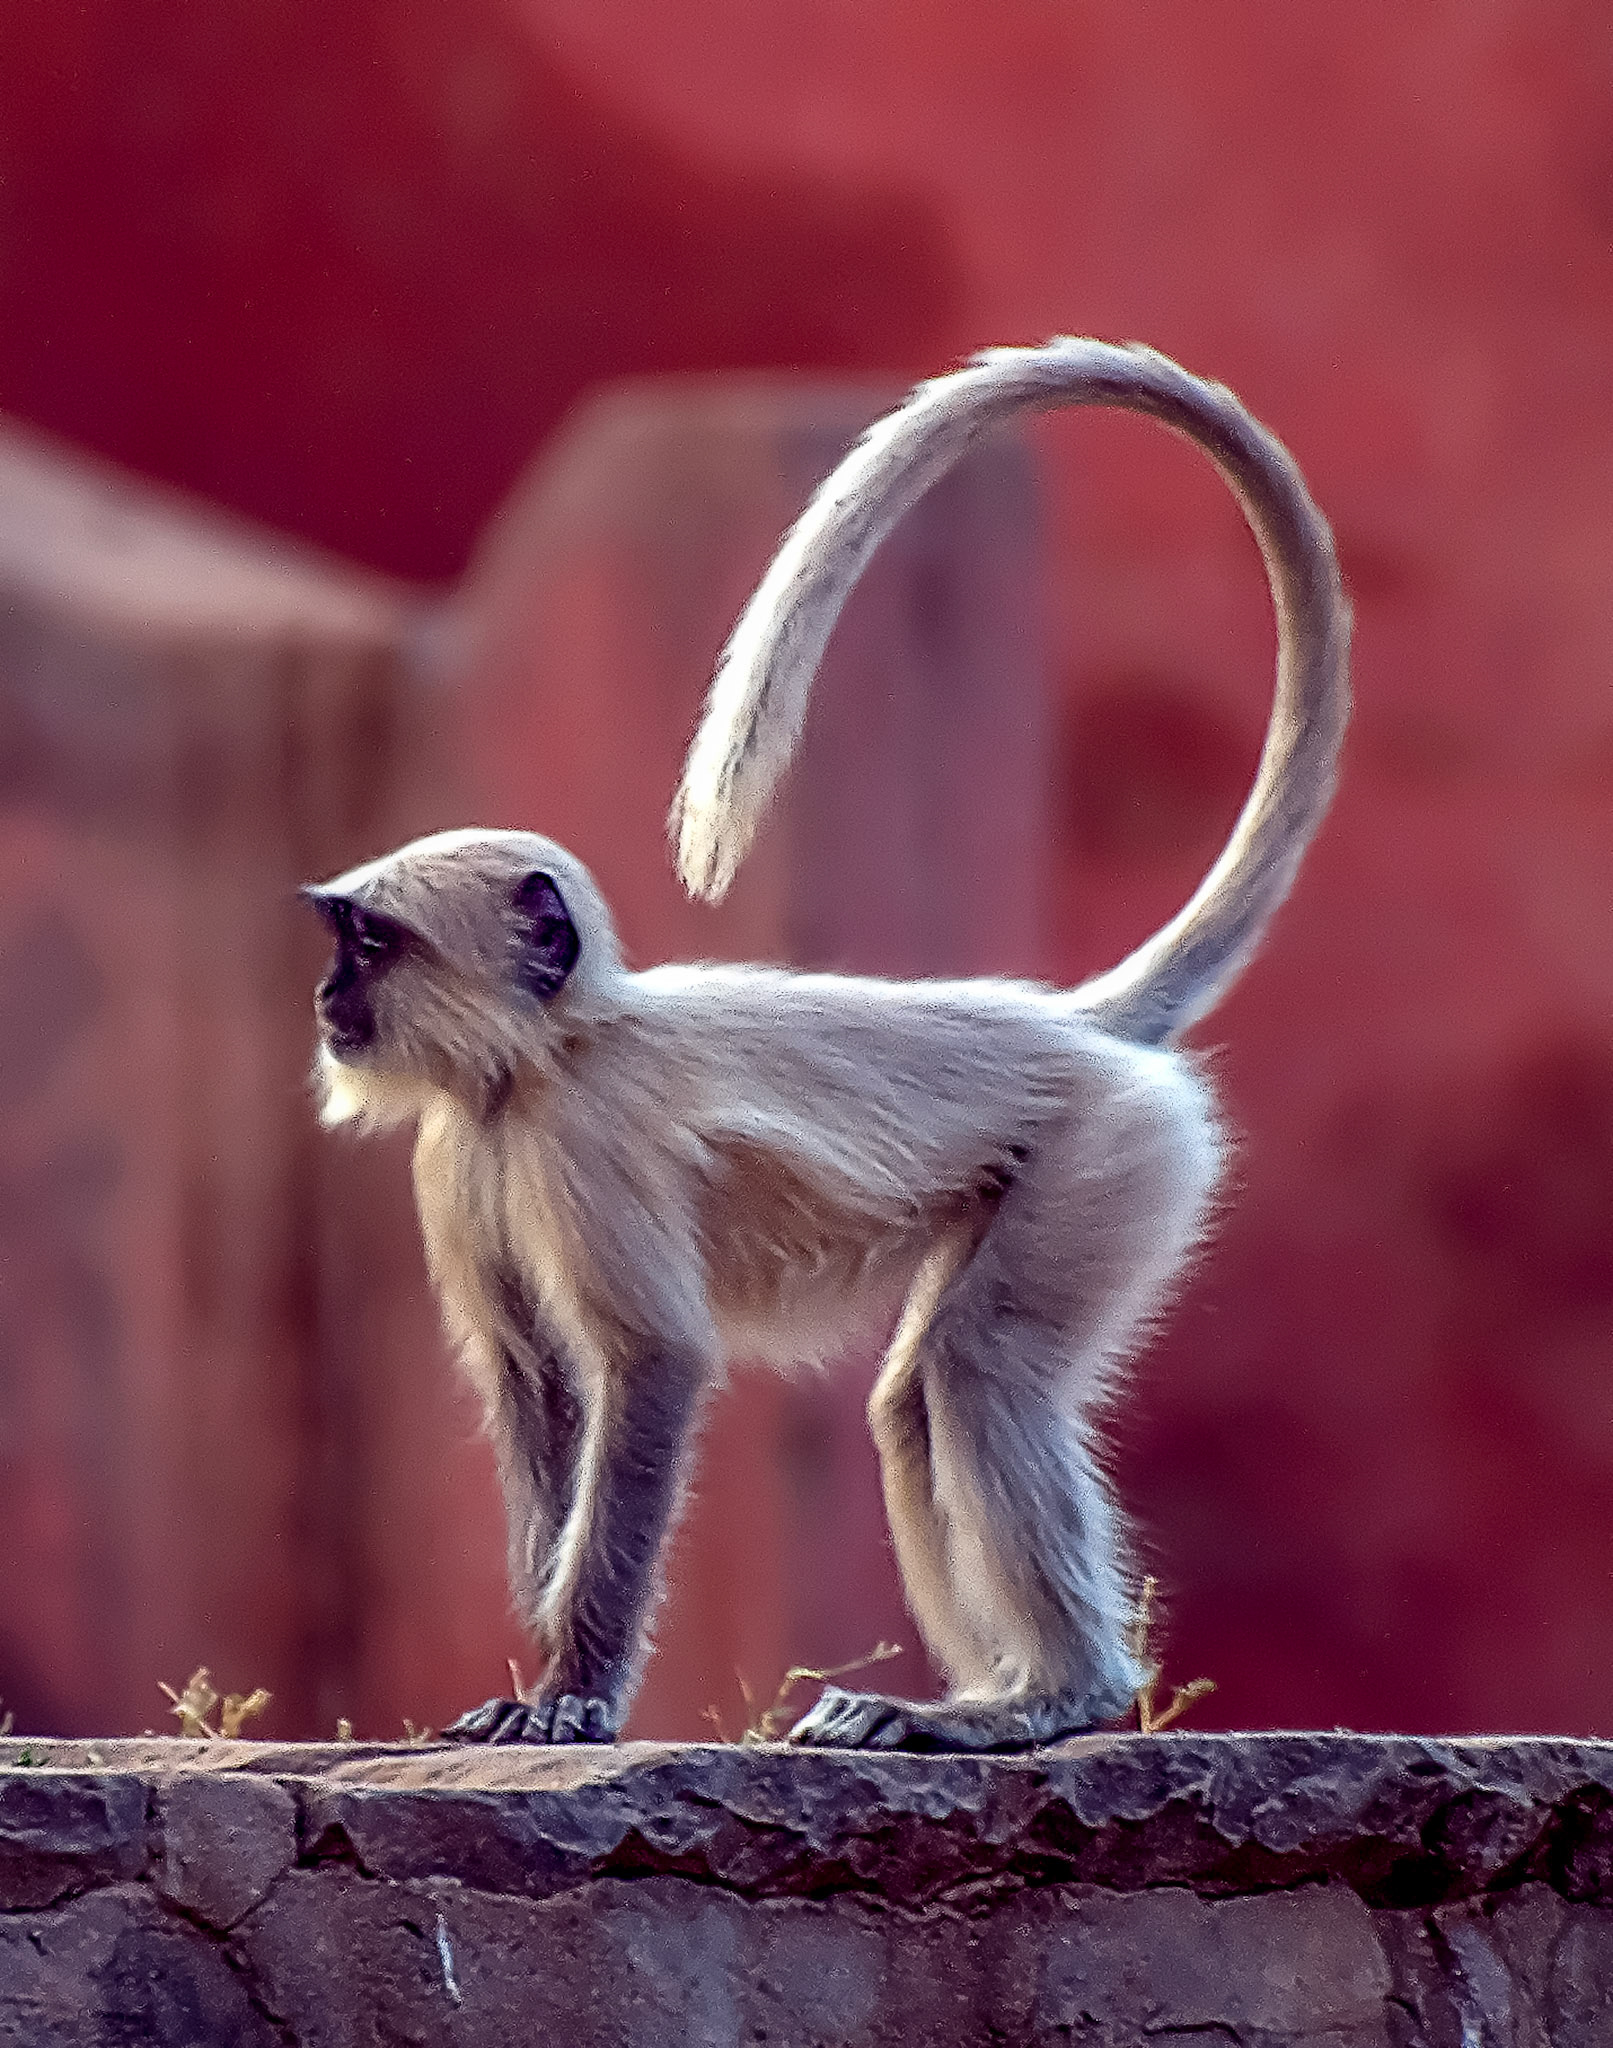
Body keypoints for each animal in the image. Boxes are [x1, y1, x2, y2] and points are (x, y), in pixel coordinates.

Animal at [305, 339, 1350, 1752]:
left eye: (370, 942)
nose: (324, 996)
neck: (543, 1059)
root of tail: (1060, 1021)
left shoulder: (583, 1135)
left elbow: (651, 1369)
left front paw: (574, 1688)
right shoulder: (460, 1146)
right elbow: (534, 1380)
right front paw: (537, 1656)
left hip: (1114, 1150)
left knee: (977, 1366)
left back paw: (1055, 1697)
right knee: (910, 1399)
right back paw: (985, 1692)